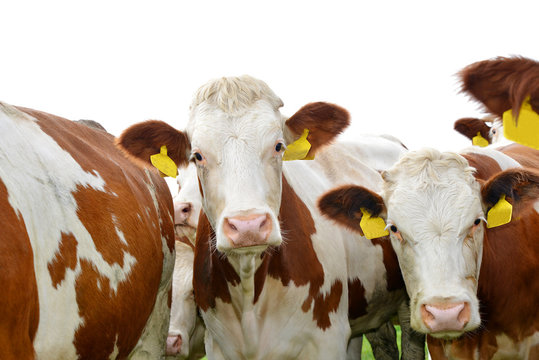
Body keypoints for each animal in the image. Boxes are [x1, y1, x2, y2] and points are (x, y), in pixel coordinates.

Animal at [116, 74, 424, 358]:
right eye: (197, 155)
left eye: (278, 146)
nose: (248, 226)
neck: (250, 293)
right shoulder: (218, 345)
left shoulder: (327, 340)